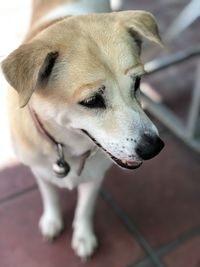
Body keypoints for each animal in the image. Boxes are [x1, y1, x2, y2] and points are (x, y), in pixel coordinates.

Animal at [1, 0, 164, 262]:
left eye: (138, 83)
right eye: (91, 101)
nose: (154, 148)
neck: (66, 146)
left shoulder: (95, 175)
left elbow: (85, 208)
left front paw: (83, 237)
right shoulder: (39, 170)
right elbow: (49, 195)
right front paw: (52, 221)